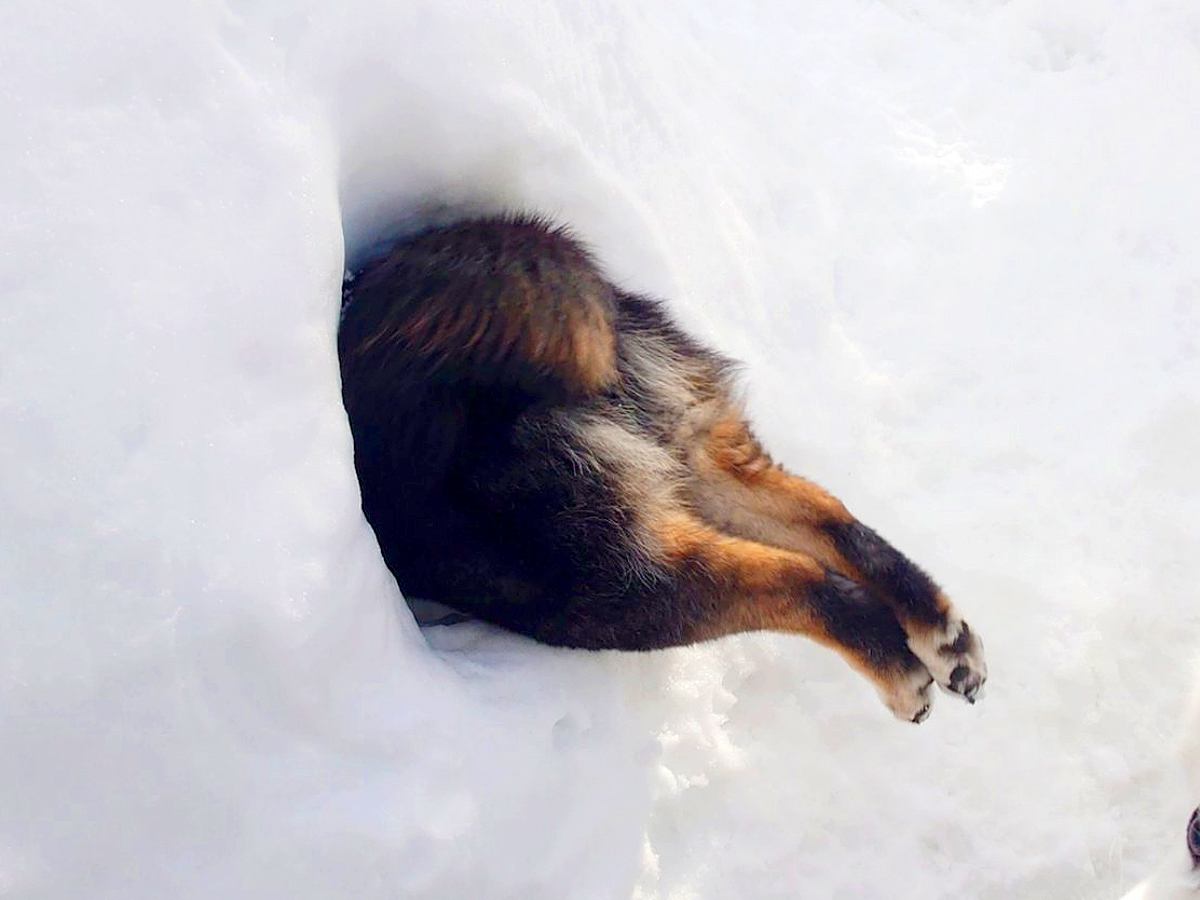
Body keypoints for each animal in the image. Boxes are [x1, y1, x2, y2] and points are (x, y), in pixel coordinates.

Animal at [336, 214, 984, 724]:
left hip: (605, 586)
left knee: (795, 580)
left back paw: (901, 672)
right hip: (698, 448)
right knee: (831, 522)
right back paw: (943, 636)